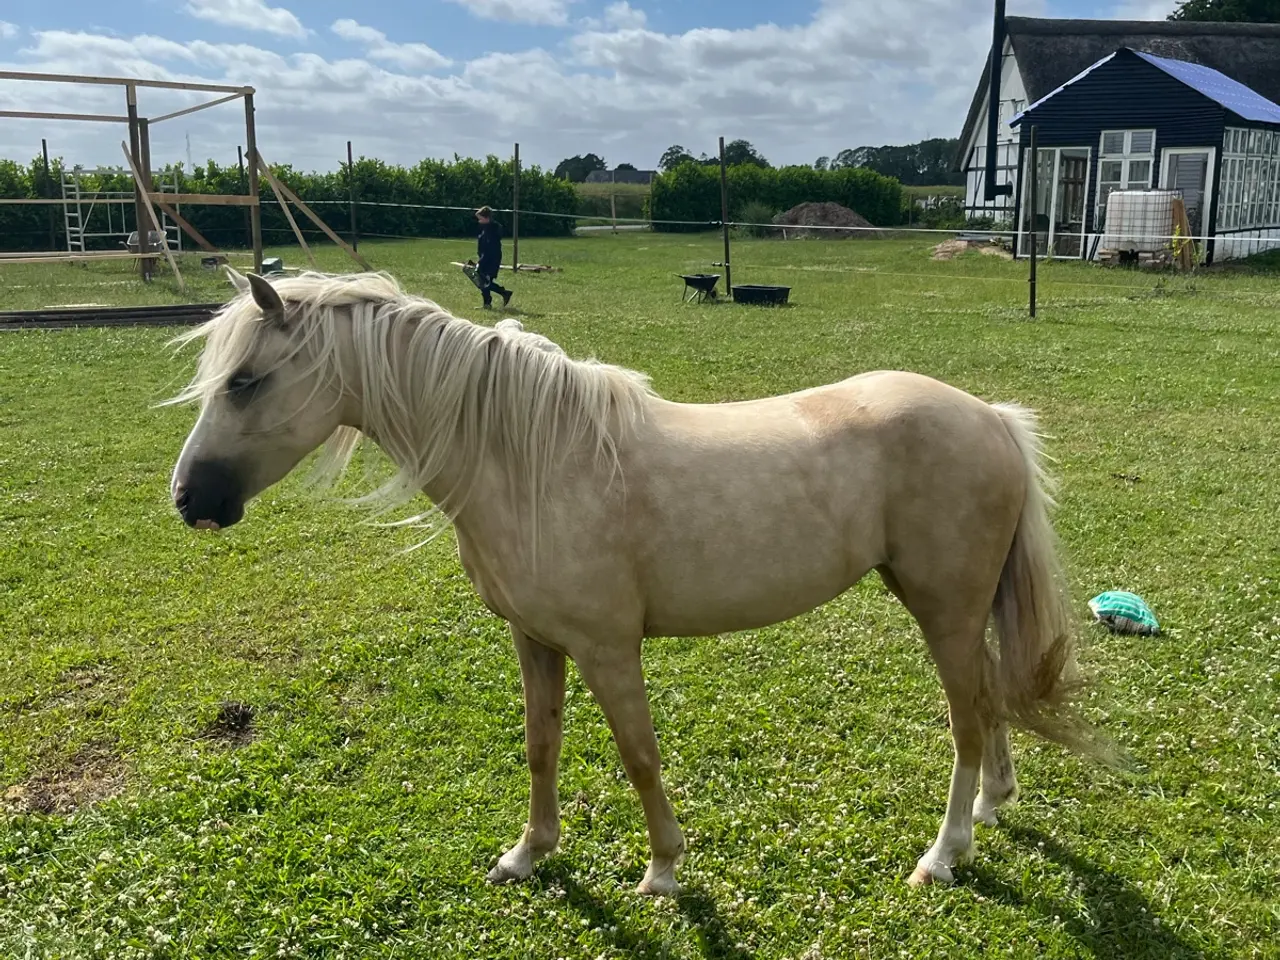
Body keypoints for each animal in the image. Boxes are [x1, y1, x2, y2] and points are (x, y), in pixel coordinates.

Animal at [167, 267, 1108, 896]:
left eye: (245, 381)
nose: (188, 500)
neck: (530, 458)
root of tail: (991, 417)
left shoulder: (608, 648)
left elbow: (638, 755)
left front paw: (662, 870)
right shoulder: (536, 640)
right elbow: (541, 746)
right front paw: (528, 853)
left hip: (943, 610)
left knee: (966, 721)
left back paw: (943, 854)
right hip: (958, 609)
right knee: (990, 700)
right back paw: (991, 808)